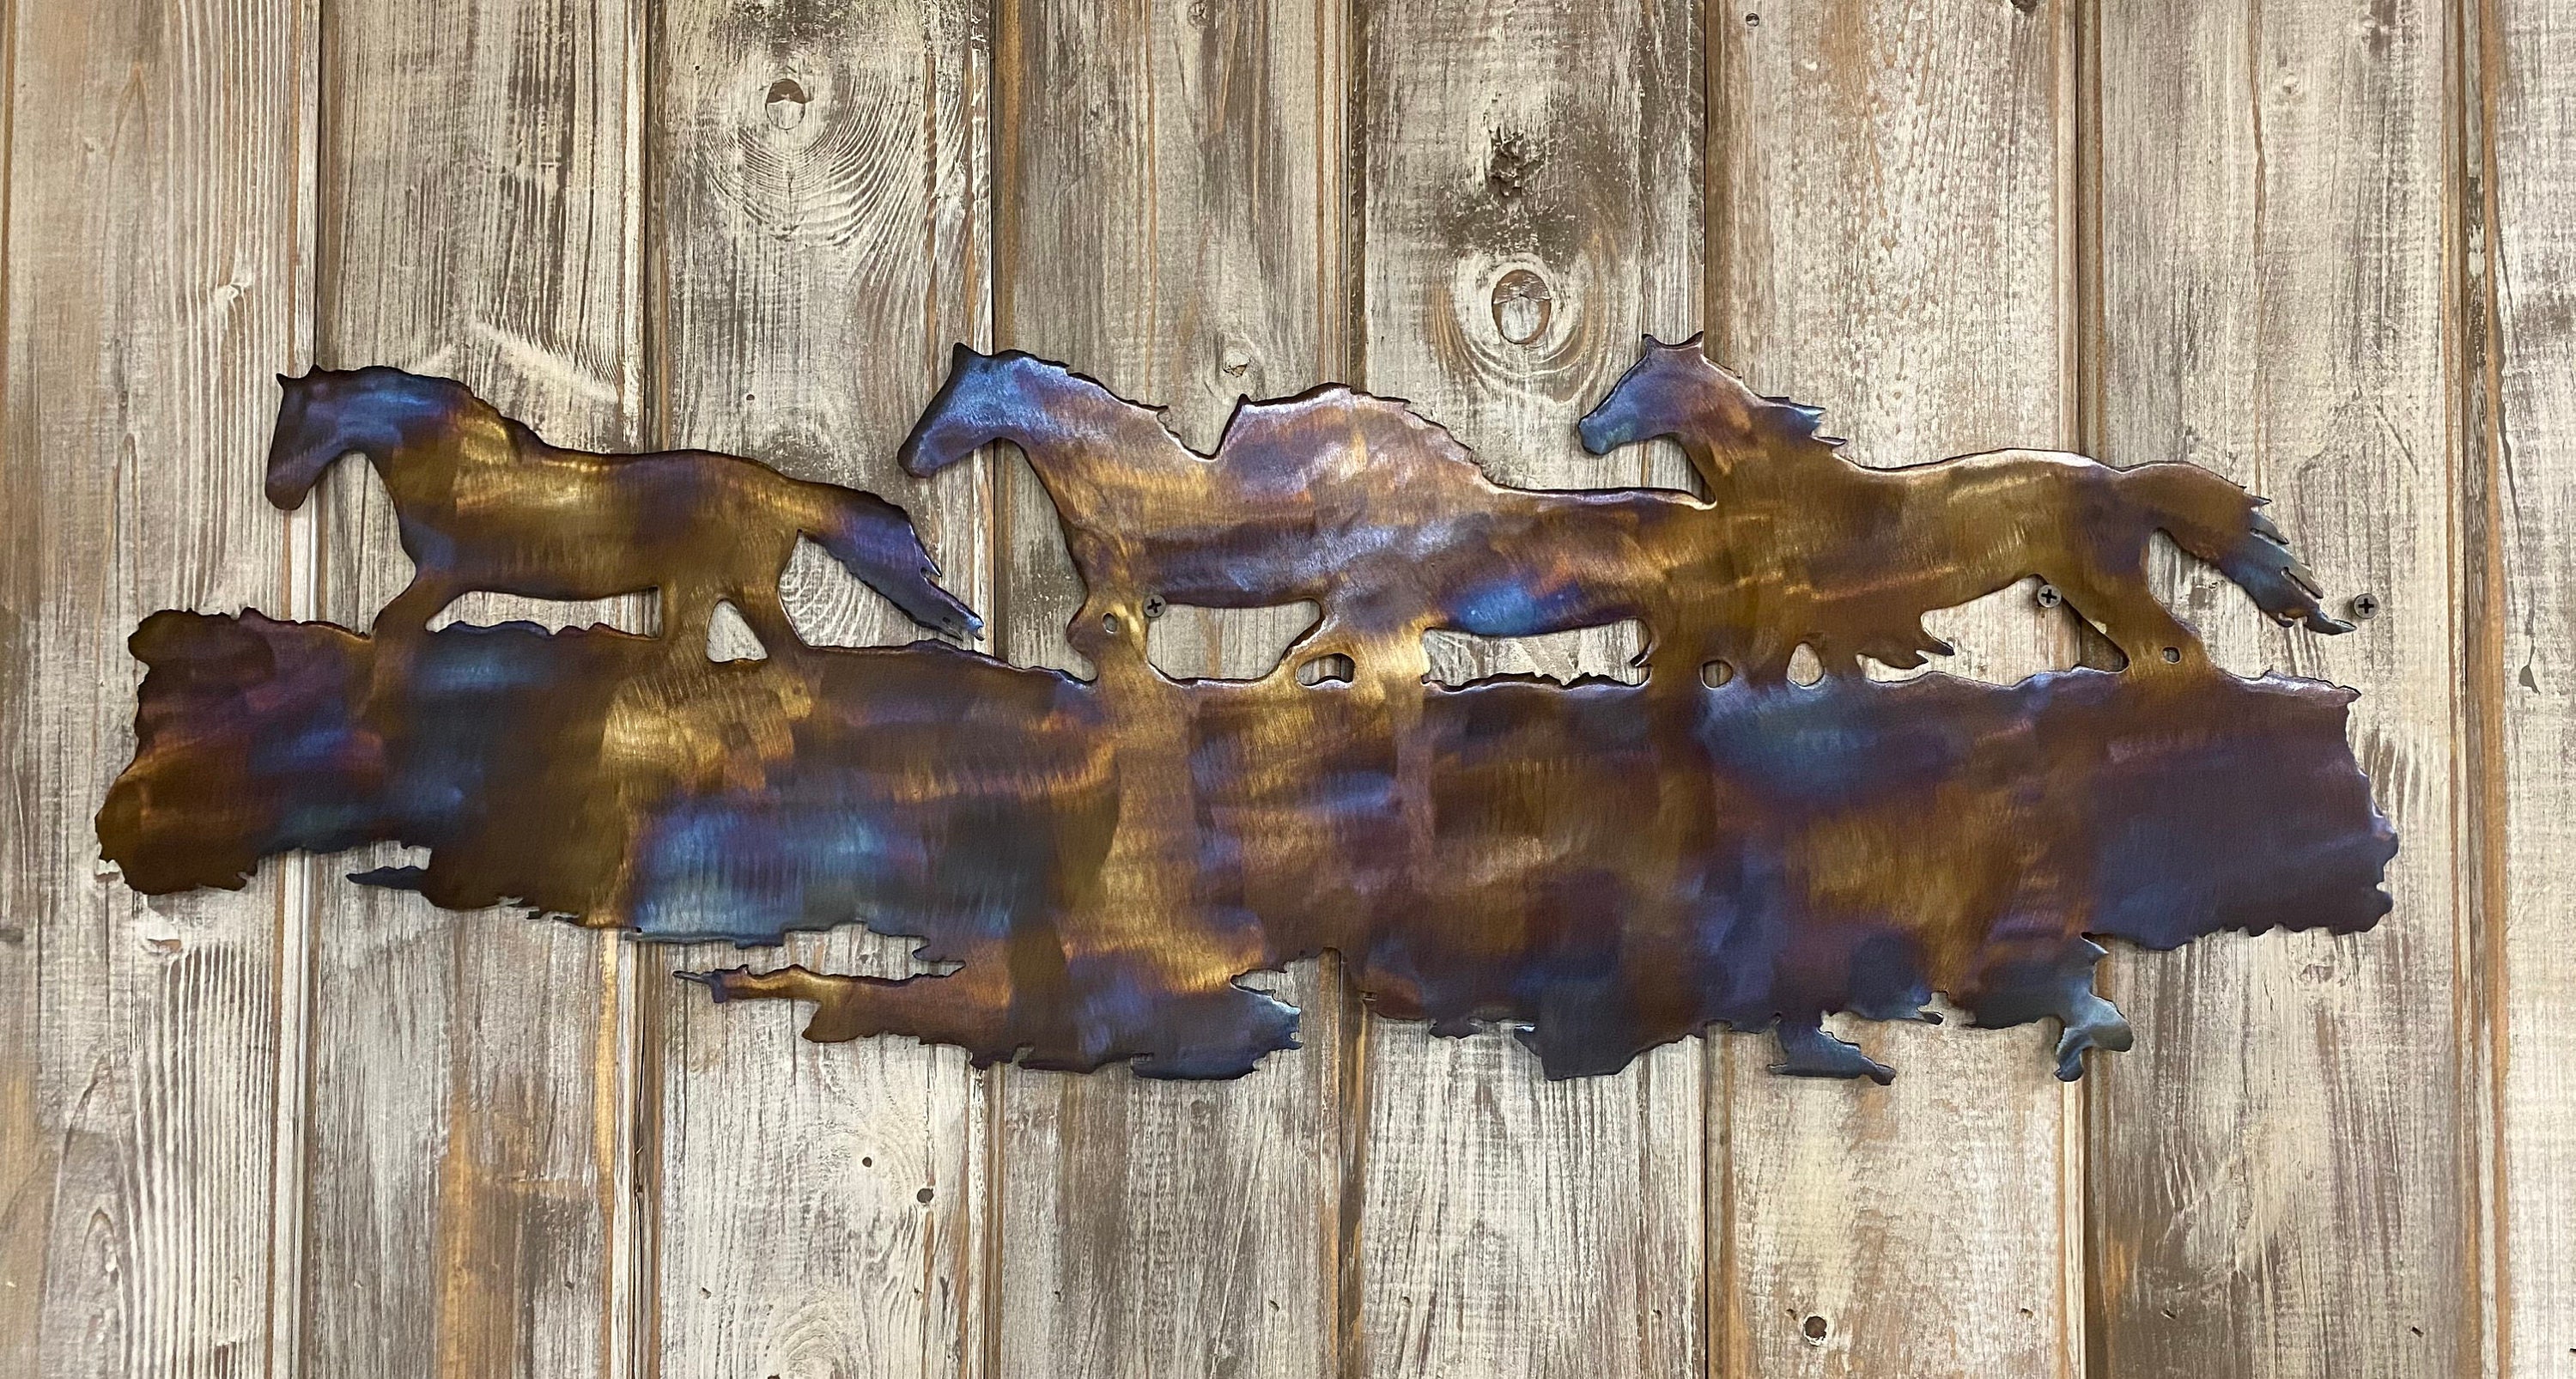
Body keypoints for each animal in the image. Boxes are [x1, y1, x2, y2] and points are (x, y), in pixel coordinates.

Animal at [263, 367, 982, 654]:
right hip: (702, 591)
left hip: (728, 585)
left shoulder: (443, 575)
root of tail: (783, 490)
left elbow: (389, 625)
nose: (278, 493)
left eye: (292, 425)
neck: (462, 469)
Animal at [897, 345, 1721, 692]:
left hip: (1372, 600)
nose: (907, 456)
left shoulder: (1116, 583)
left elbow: (1095, 640)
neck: (1108, 466)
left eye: (949, 401)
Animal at [1575, 335, 2352, 681]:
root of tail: (2121, 481)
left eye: (1635, 382)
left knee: (2175, 647)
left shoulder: (1790, 608)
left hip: (2100, 582)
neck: (1783, 488)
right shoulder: (1826, 617)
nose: (1586, 430)